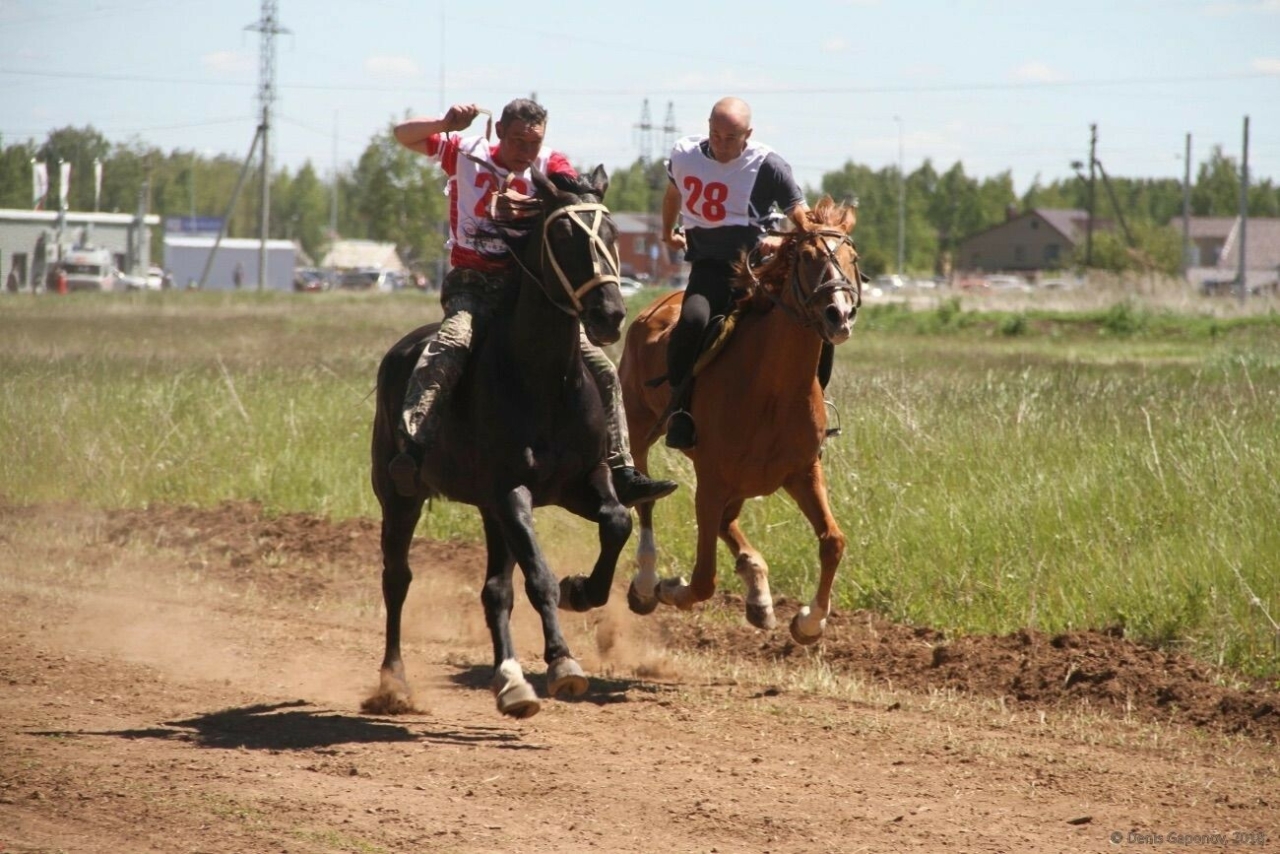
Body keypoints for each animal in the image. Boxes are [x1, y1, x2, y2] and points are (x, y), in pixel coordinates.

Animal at [368, 163, 632, 717]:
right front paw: (563, 664)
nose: (610, 313)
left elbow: (618, 520)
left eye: (614, 232)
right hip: (400, 497)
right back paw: (394, 683)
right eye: (563, 234)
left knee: (495, 590)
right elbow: (539, 577)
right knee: (397, 579)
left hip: (490, 512)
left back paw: (510, 681)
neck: (544, 380)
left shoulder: (582, 481)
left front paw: (582, 590)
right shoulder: (512, 490)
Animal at [616, 197, 860, 645]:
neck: (773, 391)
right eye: (807, 257)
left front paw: (809, 621)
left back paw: (758, 592)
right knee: (645, 497)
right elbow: (702, 579)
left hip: (745, 480)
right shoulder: (711, 481)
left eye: (853, 259)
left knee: (729, 522)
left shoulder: (803, 471)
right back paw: (645, 582)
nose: (840, 314)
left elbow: (833, 541)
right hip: (640, 428)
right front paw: (668, 587)